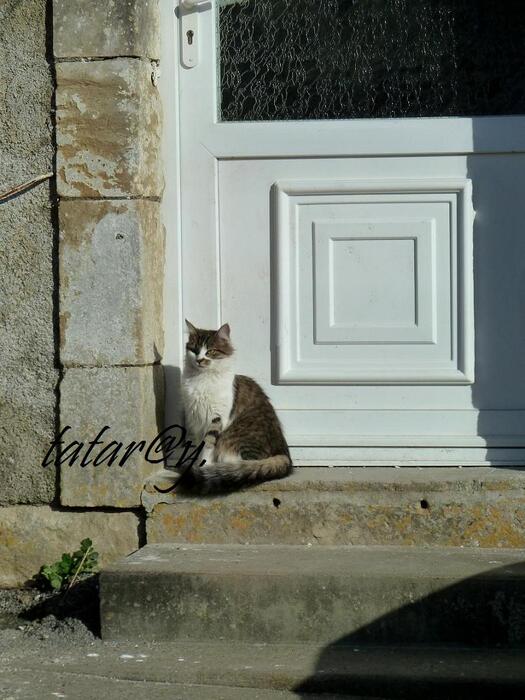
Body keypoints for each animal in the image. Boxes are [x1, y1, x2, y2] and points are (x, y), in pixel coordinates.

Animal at [181, 318, 292, 492]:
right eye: (194, 350)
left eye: (210, 351)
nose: (199, 360)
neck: (202, 379)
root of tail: (283, 453)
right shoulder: (196, 419)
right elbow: (199, 445)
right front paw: (197, 465)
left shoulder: (216, 418)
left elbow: (207, 446)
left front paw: (202, 468)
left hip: (235, 440)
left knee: (245, 464)